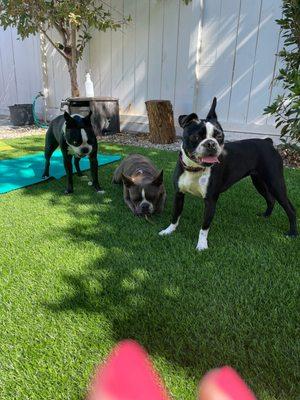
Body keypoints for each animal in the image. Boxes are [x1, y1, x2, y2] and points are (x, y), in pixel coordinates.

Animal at [159, 97, 298, 250]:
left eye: (219, 136)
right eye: (196, 136)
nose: (211, 143)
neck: (195, 168)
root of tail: (268, 142)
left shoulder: (210, 201)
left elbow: (204, 227)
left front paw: (201, 245)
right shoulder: (179, 194)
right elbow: (175, 215)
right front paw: (168, 231)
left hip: (275, 183)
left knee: (290, 208)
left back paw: (292, 233)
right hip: (259, 182)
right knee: (270, 199)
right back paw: (266, 215)